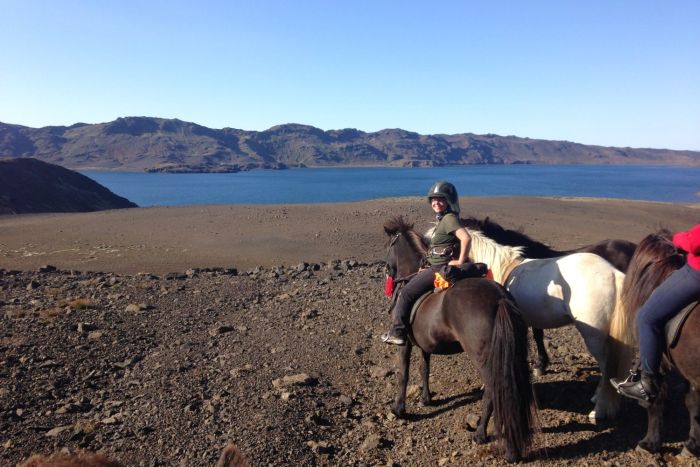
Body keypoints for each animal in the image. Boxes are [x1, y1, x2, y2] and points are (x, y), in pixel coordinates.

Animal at [382, 218, 536, 462]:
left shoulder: (405, 343)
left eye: (389, 245)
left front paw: (398, 409)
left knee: (492, 391)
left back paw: (481, 435)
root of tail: (500, 299)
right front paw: (426, 399)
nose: (387, 270)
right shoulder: (425, 344)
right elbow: (424, 368)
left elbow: (403, 374)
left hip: (483, 357)